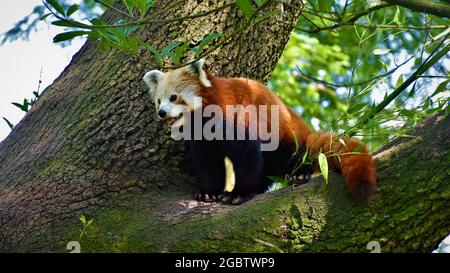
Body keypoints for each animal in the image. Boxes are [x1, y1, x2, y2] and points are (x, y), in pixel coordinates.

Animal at [143, 59, 376, 204]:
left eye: (174, 97)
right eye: (158, 101)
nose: (162, 113)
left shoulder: (238, 119)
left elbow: (247, 155)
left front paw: (239, 194)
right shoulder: (203, 140)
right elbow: (208, 163)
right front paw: (210, 192)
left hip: (289, 136)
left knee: (296, 153)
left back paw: (300, 172)